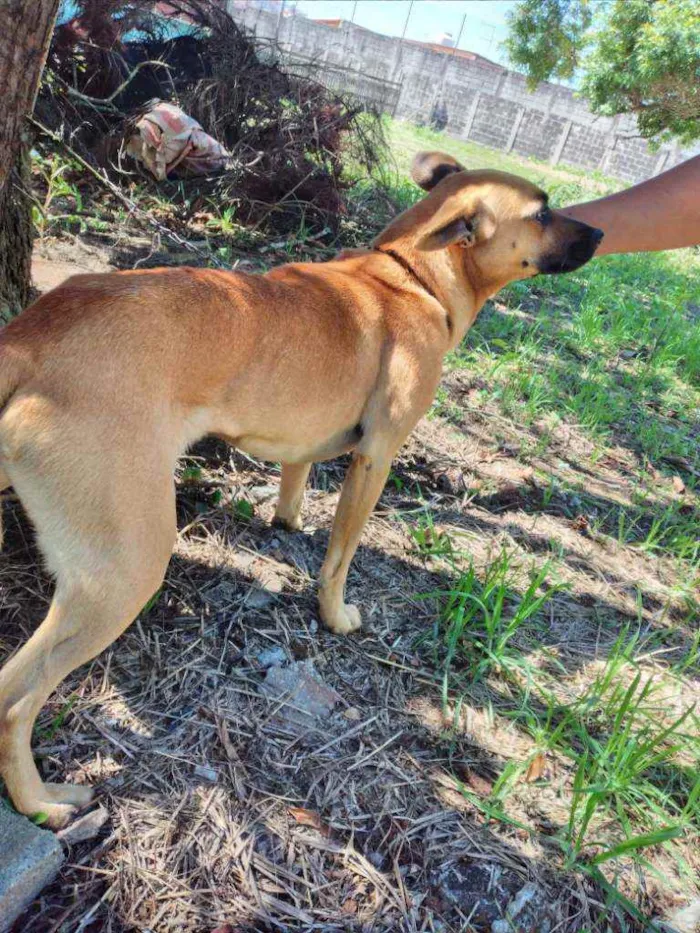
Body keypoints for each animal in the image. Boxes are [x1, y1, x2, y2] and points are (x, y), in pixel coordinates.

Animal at [0, 151, 600, 824]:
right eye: (542, 212)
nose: (603, 233)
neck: (410, 274)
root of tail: (30, 340)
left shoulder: (303, 444)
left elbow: (296, 484)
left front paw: (288, 522)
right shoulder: (376, 457)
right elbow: (340, 556)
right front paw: (334, 615)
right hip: (124, 575)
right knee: (13, 703)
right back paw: (41, 803)